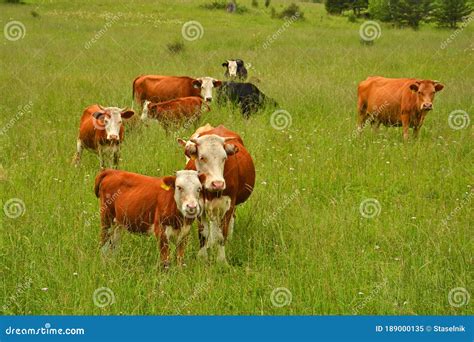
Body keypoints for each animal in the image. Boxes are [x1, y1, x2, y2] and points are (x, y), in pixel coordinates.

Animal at [178, 124, 256, 264]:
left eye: (224, 158)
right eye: (202, 157)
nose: (218, 184)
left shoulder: (228, 204)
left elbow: (222, 234)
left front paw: (221, 260)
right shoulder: (199, 205)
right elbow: (203, 233)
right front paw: (202, 257)